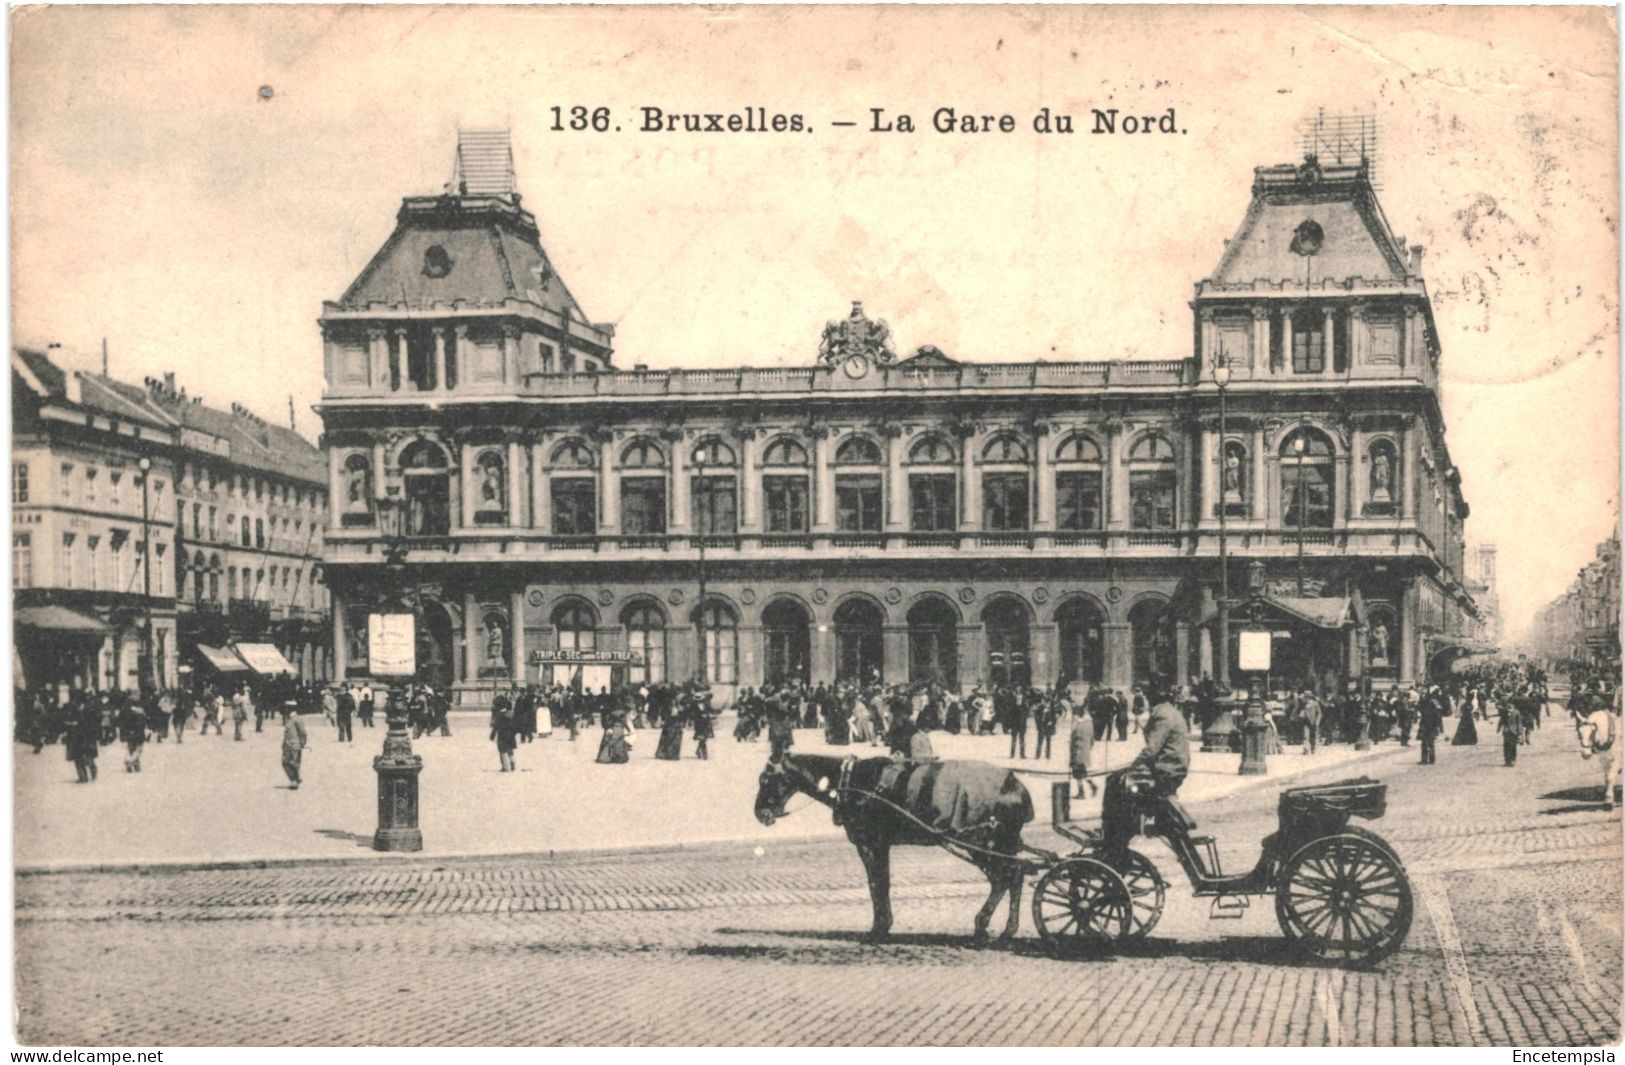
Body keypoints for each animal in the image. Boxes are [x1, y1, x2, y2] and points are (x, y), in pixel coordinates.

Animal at [757, 754, 1033, 943]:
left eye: (766, 779)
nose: (760, 813)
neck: (854, 781)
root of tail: (1017, 786)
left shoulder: (871, 843)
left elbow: (877, 884)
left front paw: (879, 927)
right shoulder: (881, 844)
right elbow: (882, 883)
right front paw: (884, 924)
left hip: (981, 843)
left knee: (1006, 877)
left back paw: (986, 923)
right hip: (998, 844)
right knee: (1014, 876)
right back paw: (1004, 928)